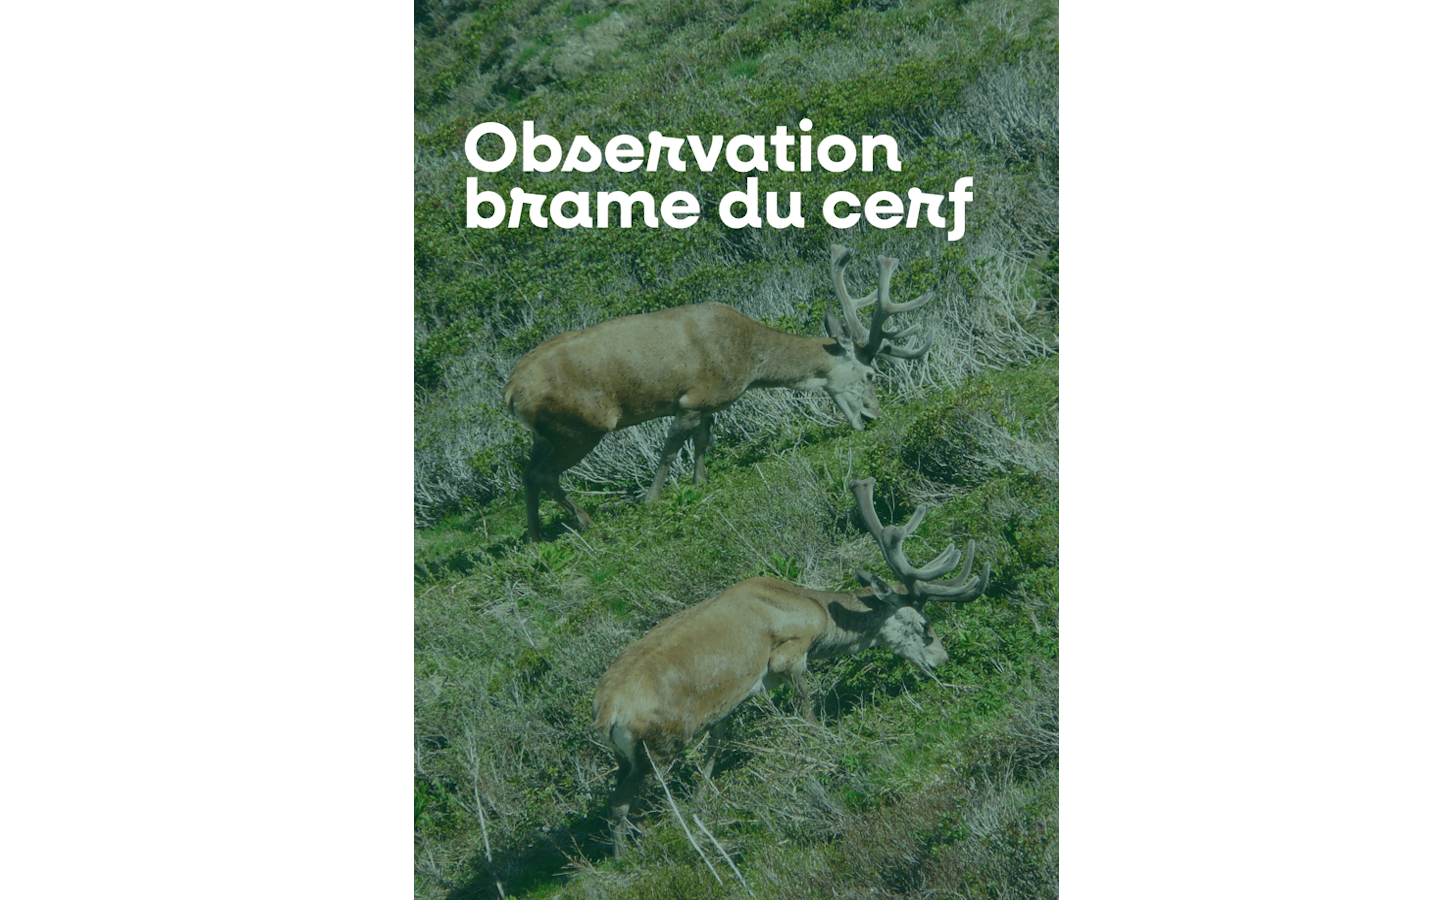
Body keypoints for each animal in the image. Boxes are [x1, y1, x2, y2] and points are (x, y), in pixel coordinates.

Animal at [503, 244, 936, 542]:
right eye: (870, 373)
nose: (874, 415)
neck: (749, 361)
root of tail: (510, 392)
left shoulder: (708, 403)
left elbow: (702, 442)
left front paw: (699, 483)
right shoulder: (693, 398)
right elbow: (671, 449)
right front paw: (652, 498)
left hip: (548, 432)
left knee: (527, 473)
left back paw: (536, 536)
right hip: (580, 426)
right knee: (542, 473)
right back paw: (585, 520)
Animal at [591, 476, 990, 858]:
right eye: (924, 625)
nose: (942, 658)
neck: (815, 611)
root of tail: (607, 712)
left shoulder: (726, 703)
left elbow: (715, 746)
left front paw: (704, 800)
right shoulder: (789, 652)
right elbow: (807, 705)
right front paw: (821, 743)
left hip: (628, 755)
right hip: (659, 746)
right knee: (622, 806)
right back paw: (632, 856)